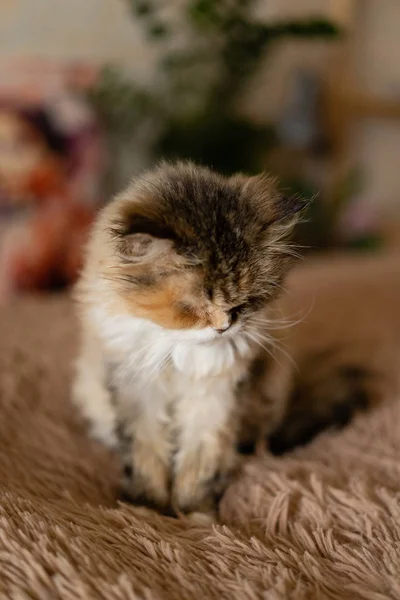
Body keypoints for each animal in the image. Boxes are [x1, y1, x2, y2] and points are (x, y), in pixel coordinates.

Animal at [72, 162, 306, 516]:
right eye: (193, 306)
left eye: (243, 302)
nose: (224, 327)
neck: (177, 355)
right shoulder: (137, 391)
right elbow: (146, 455)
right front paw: (150, 507)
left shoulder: (215, 399)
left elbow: (200, 461)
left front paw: (194, 510)